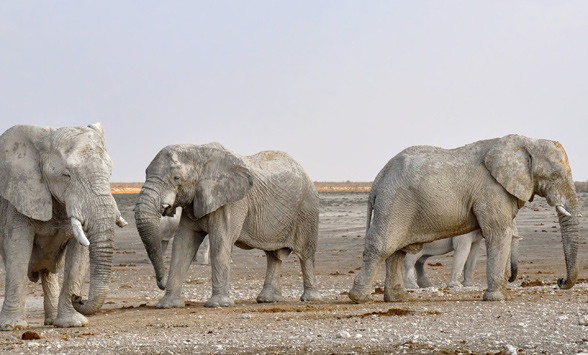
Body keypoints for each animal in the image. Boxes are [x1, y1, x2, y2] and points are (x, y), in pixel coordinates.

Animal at [0, 124, 127, 330]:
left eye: (109, 174)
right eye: (66, 175)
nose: (79, 298)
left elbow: (78, 256)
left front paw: (73, 323)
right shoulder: (19, 198)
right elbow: (18, 250)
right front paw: (13, 326)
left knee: (48, 273)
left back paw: (52, 321)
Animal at [134, 142, 322, 308]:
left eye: (176, 178)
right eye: (146, 173)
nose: (162, 284)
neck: (199, 152)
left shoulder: (233, 202)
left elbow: (221, 240)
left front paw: (218, 304)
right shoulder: (195, 201)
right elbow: (183, 243)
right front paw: (168, 305)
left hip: (307, 209)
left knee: (305, 253)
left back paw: (309, 298)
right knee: (273, 256)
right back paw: (267, 300)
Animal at [350, 136, 584, 304]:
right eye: (554, 176)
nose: (560, 281)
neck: (528, 141)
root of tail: (377, 179)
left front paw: (501, 296)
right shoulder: (491, 189)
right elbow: (499, 232)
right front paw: (498, 299)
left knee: (397, 251)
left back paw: (399, 299)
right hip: (394, 203)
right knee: (382, 246)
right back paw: (359, 298)